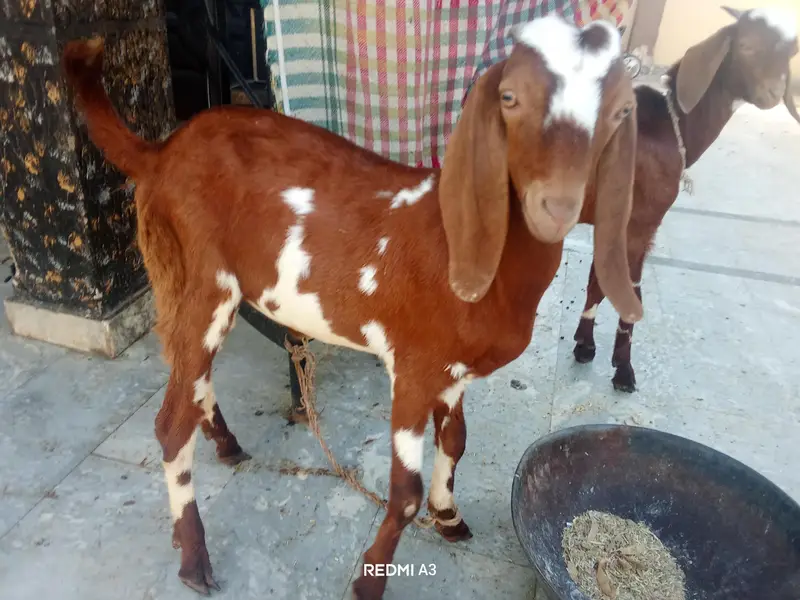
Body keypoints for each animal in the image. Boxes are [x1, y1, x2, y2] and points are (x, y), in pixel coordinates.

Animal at [62, 15, 642, 599]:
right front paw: (370, 580)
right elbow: (404, 492)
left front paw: (449, 516)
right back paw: (193, 558)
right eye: (509, 98)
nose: (556, 206)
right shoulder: (414, 368)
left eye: (621, 111)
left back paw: (225, 444)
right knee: (170, 420)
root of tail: (162, 153)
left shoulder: (453, 370)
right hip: (205, 282)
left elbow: (456, 441)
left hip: (182, 283)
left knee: (188, 374)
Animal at [572, 5, 800, 392]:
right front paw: (621, 367)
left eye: (789, 51)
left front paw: (585, 345)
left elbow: (597, 279)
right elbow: (629, 286)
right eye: (745, 46)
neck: (672, 124)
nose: (772, 92)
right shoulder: (643, 220)